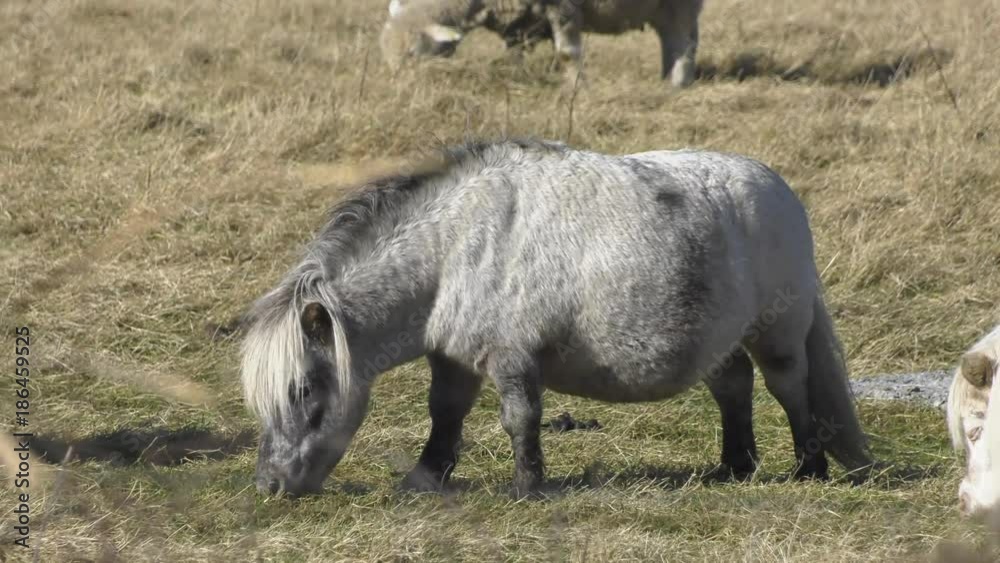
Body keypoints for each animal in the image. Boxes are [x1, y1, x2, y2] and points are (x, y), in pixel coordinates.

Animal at [239, 138, 873, 497]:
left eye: (303, 391)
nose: (271, 485)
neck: (457, 245)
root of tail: (780, 190)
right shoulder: (455, 356)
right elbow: (445, 414)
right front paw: (425, 479)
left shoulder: (512, 357)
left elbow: (520, 419)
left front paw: (526, 487)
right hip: (719, 337)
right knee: (734, 385)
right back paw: (734, 468)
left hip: (779, 331)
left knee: (790, 389)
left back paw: (809, 470)